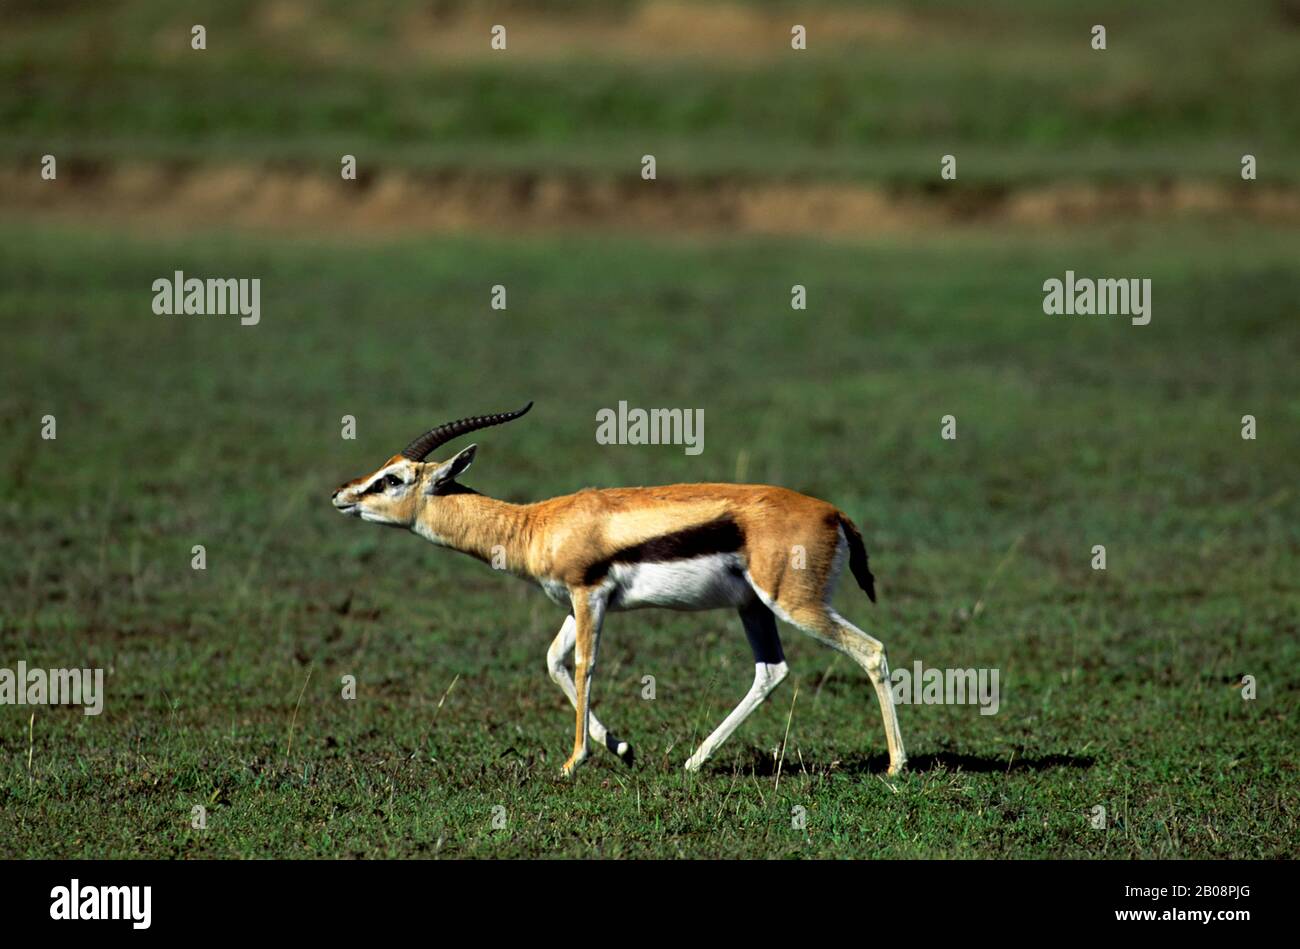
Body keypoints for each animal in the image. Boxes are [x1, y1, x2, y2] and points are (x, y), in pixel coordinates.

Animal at [332, 403, 907, 778]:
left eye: (392, 479)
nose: (341, 494)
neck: (536, 526)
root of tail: (836, 514)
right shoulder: (575, 602)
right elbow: (553, 662)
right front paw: (624, 749)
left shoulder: (589, 596)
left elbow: (585, 665)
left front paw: (572, 763)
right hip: (753, 608)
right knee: (771, 671)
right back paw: (694, 761)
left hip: (795, 604)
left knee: (871, 651)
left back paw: (897, 767)